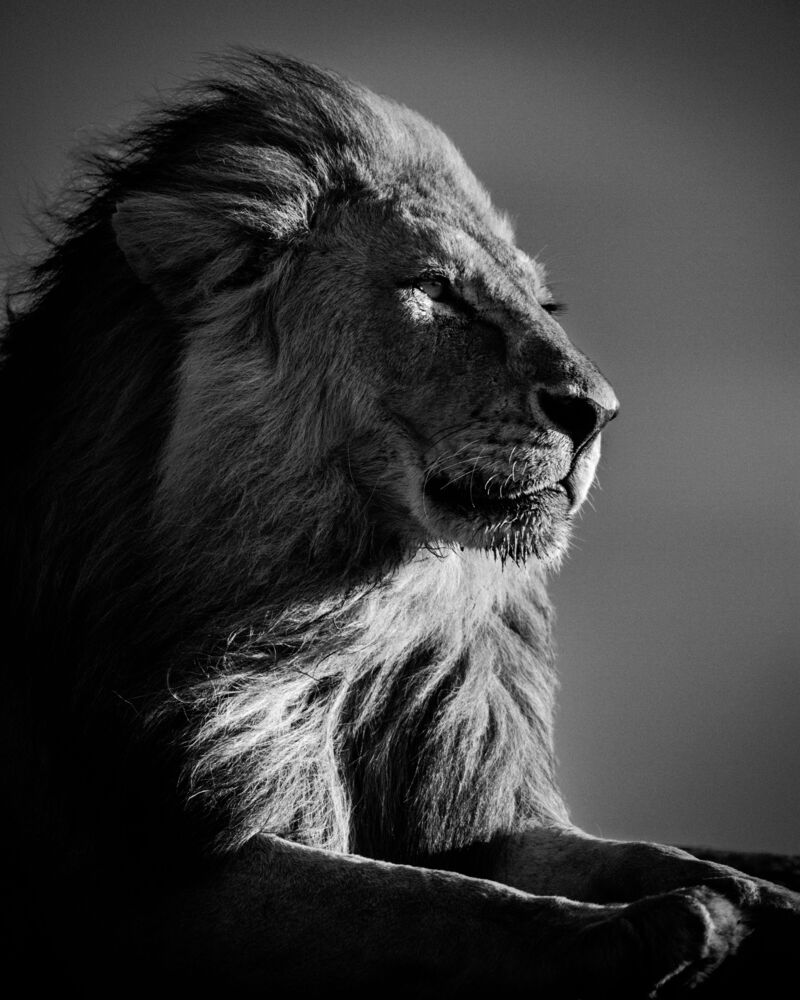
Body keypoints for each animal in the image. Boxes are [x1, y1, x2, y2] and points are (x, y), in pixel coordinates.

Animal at [1, 52, 797, 995]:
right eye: (435, 290)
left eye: (544, 305)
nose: (597, 412)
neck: (357, 618)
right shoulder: (144, 868)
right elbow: (430, 903)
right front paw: (655, 927)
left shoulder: (464, 796)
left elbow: (628, 853)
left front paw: (755, 896)